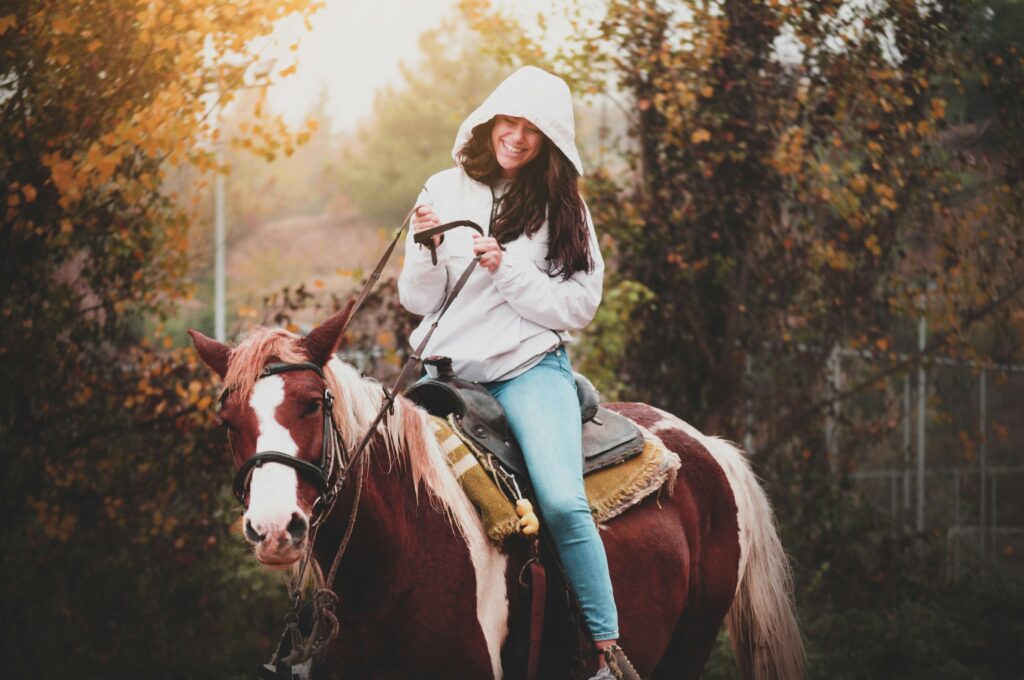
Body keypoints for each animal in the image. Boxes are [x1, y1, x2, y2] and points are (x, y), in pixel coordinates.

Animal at [188, 307, 802, 680]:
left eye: (313, 404)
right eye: (227, 420)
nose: (274, 528)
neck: (392, 563)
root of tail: (707, 446)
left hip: (687, 647)